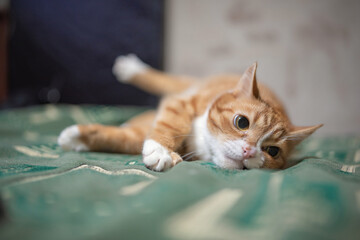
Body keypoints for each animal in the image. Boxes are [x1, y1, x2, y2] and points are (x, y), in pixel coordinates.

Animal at [57, 53, 322, 172]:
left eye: (272, 151)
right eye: (242, 122)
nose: (249, 151)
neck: (202, 142)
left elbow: (123, 139)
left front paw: (78, 138)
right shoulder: (182, 102)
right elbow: (170, 124)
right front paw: (162, 150)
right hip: (183, 85)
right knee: (165, 81)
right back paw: (131, 69)